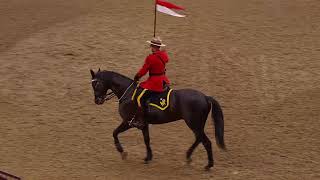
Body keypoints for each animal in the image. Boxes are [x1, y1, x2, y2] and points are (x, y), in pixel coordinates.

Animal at [90, 69, 225, 170]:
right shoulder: (143, 124)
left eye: (96, 84)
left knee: (206, 141)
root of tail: (205, 97)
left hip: (194, 124)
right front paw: (148, 157)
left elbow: (114, 133)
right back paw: (188, 156)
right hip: (196, 125)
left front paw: (122, 152)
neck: (127, 93)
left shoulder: (128, 122)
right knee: (199, 139)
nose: (97, 101)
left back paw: (208, 165)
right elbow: (146, 139)